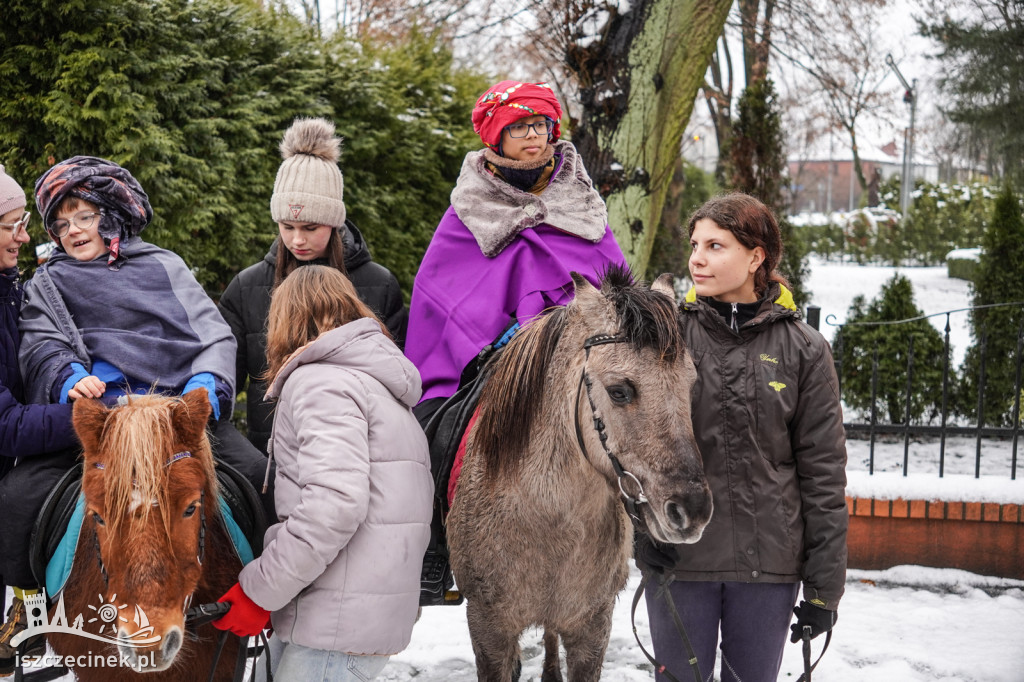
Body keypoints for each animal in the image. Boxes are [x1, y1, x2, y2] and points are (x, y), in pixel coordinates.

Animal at [448, 266, 712, 679]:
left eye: (690, 383)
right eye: (619, 391)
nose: (692, 511)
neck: (547, 521)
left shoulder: (592, 628)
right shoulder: (489, 629)